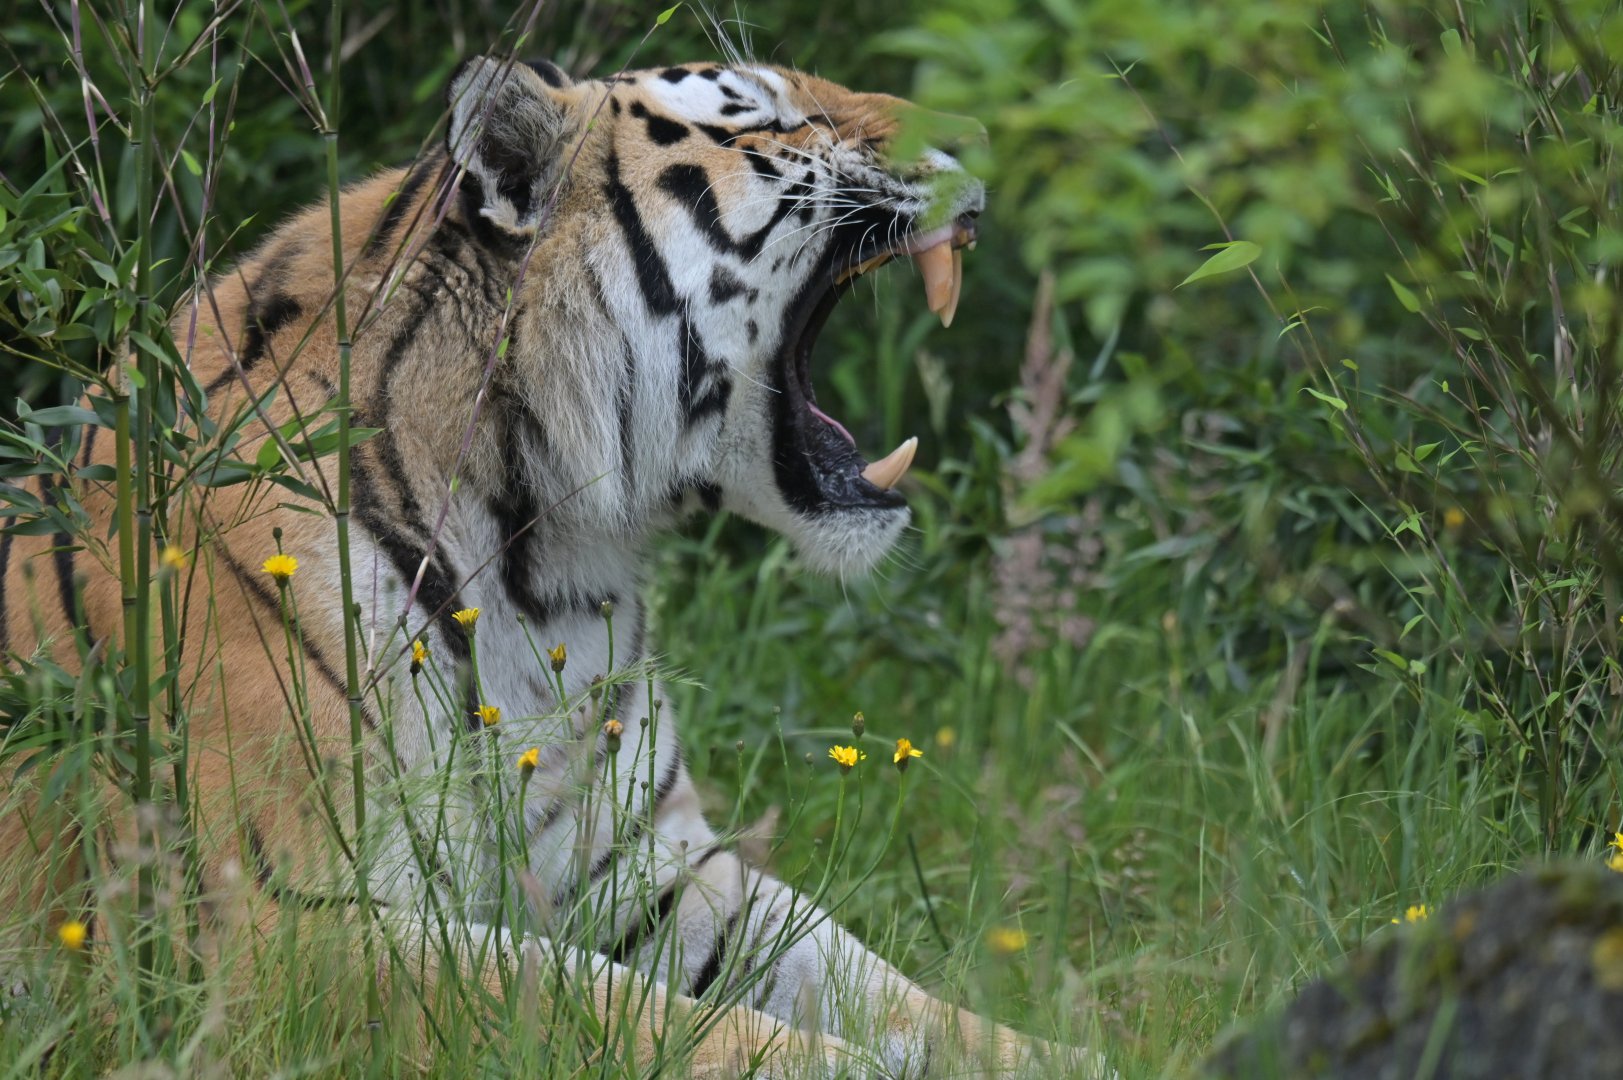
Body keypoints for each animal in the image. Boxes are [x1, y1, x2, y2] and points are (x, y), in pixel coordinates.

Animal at [1, 55, 1094, 1077]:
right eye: (772, 117)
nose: (980, 134)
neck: (546, 564)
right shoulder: (276, 929)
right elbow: (606, 1007)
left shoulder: (652, 873)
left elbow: (888, 988)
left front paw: (1069, 1052)